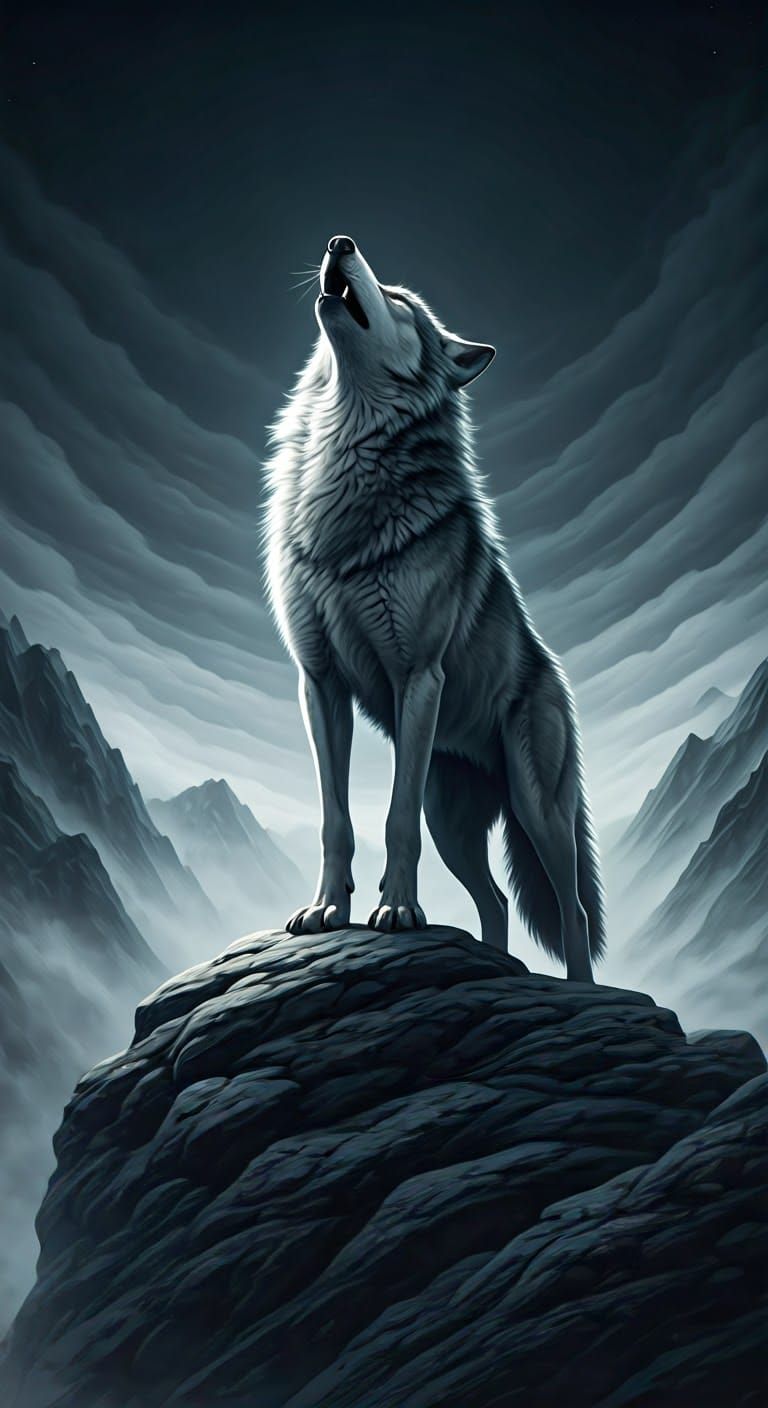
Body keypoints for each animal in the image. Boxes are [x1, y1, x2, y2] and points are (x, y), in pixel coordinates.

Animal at [265, 235, 605, 980]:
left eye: (398, 300)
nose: (339, 243)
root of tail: (556, 675)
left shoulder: (417, 679)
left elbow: (393, 818)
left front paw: (396, 912)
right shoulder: (319, 684)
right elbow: (337, 818)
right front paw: (327, 910)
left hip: (538, 810)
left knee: (572, 910)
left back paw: (587, 990)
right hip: (451, 823)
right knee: (497, 902)